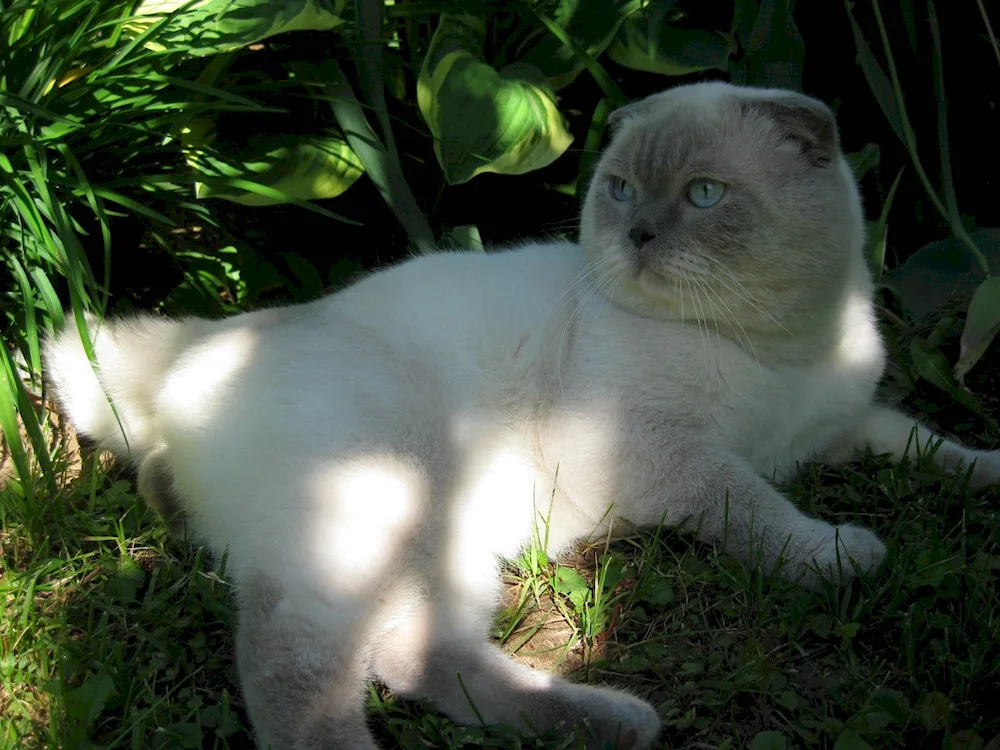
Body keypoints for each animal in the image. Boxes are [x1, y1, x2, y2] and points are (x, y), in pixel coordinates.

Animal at [43, 79, 1000, 748]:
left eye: (703, 195)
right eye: (622, 189)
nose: (636, 236)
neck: (781, 347)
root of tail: (202, 346)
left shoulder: (843, 430)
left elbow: (933, 444)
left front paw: (988, 471)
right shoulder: (671, 456)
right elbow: (757, 510)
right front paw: (840, 554)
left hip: (450, 539)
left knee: (409, 651)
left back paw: (618, 722)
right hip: (380, 504)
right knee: (293, 661)